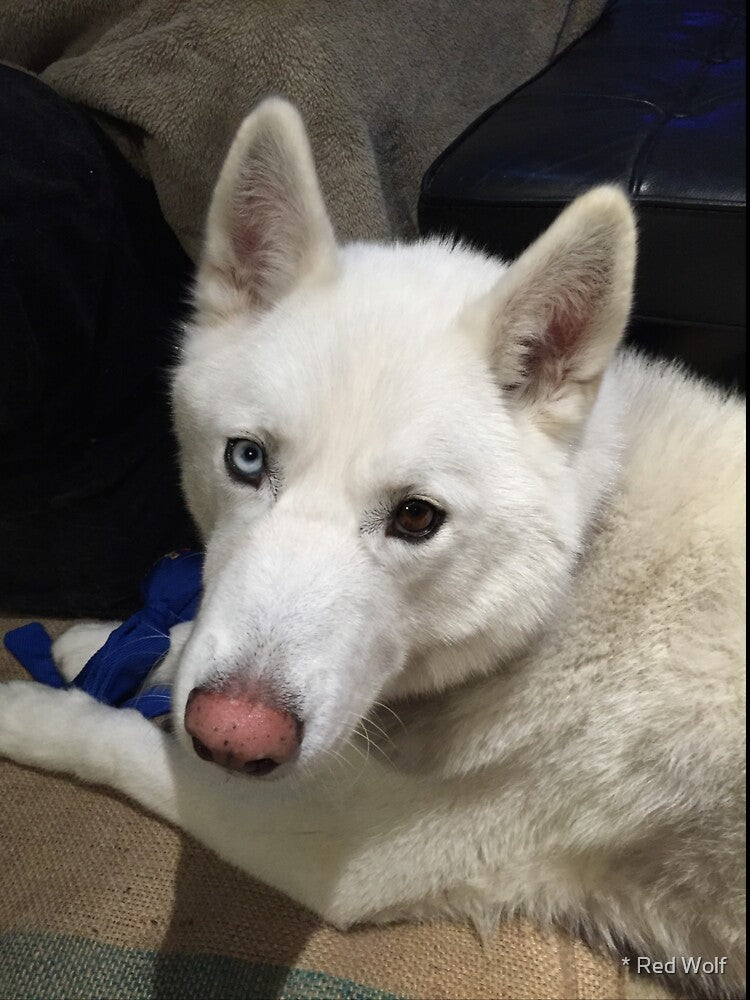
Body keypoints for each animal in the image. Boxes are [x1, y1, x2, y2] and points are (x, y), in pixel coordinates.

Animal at [0, 99, 745, 997]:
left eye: (416, 518)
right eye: (245, 459)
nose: (233, 735)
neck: (581, 570)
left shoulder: (342, 845)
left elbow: (128, 746)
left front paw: (30, 712)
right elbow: (182, 653)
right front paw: (114, 644)